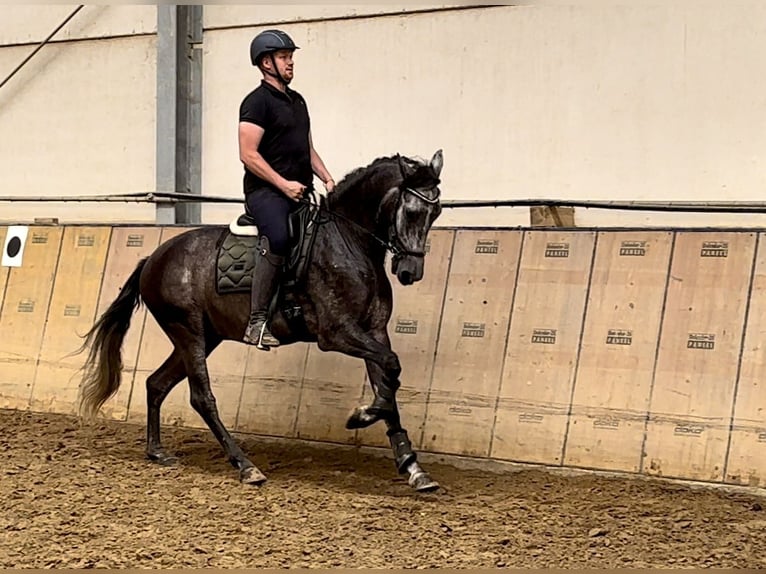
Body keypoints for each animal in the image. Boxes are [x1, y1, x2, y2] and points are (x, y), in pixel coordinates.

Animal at [75, 150, 448, 496]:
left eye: (436, 213)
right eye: (412, 211)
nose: (410, 272)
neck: (349, 242)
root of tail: (153, 258)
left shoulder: (374, 331)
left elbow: (388, 380)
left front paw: (412, 466)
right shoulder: (337, 333)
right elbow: (391, 367)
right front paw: (363, 415)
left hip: (204, 337)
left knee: (156, 383)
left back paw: (157, 452)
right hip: (188, 332)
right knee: (201, 397)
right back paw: (245, 465)